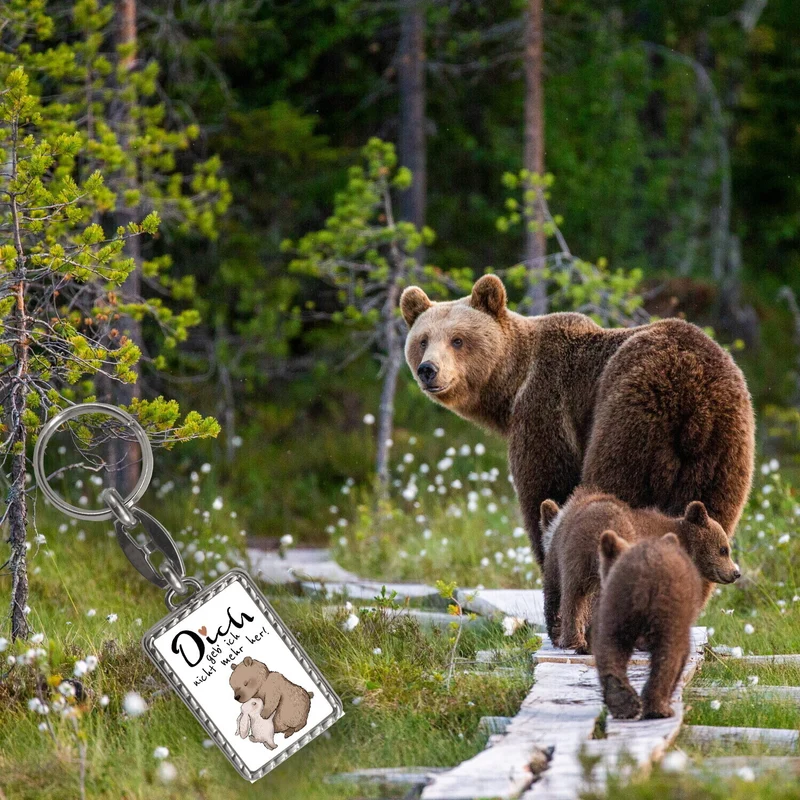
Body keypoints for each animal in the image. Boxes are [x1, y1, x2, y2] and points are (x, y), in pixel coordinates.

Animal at [400, 275, 754, 570]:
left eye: (458, 339)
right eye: (423, 340)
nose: (428, 370)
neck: (512, 386)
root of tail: (694, 399)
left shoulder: (547, 407)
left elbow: (547, 486)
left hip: (632, 419)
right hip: (724, 449)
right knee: (711, 517)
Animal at [593, 530, 734, 720]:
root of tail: (643, 571)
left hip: (617, 604)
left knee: (611, 647)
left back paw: (623, 703)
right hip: (669, 610)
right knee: (669, 653)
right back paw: (658, 708)